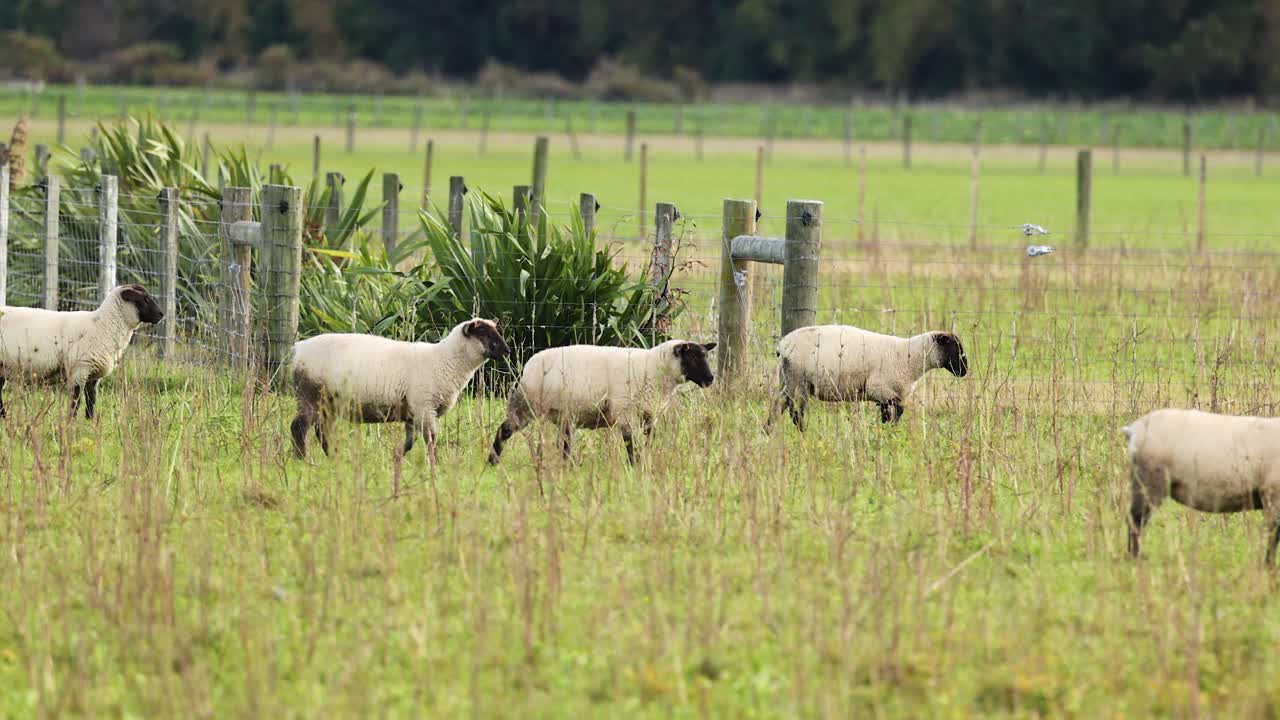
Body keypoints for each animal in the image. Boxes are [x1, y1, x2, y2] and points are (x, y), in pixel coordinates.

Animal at [0, 284, 164, 419]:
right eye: (143, 299)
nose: (161, 314)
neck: (103, 326)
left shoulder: (93, 375)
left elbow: (91, 400)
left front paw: (89, 422)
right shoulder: (79, 369)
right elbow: (76, 401)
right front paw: (71, 423)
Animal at [289, 318, 509, 464]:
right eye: (484, 333)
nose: (507, 350)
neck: (445, 360)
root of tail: (296, 349)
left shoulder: (413, 413)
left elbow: (411, 442)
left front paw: (395, 457)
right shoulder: (425, 408)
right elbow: (431, 439)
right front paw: (434, 465)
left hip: (328, 402)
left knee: (322, 431)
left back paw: (335, 458)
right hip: (310, 393)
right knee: (298, 428)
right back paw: (303, 460)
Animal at [488, 340, 716, 465]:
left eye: (705, 356)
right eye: (693, 357)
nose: (710, 379)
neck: (654, 367)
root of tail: (529, 365)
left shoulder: (650, 414)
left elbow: (649, 441)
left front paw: (646, 461)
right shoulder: (626, 412)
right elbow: (630, 443)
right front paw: (634, 466)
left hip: (562, 413)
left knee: (565, 444)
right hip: (527, 405)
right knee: (505, 429)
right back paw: (492, 461)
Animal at [770, 324, 968, 430]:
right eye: (955, 347)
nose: (965, 371)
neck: (911, 356)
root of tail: (783, 346)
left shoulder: (883, 397)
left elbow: (889, 415)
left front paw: (886, 433)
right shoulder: (881, 390)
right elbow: (898, 412)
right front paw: (890, 433)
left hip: (790, 380)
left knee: (779, 404)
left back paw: (768, 431)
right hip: (799, 381)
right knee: (795, 412)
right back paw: (802, 434)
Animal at [1123, 408, 1280, 564]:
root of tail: (1134, 430)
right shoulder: (1272, 494)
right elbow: (1273, 534)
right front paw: (1269, 566)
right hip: (1150, 480)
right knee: (1136, 518)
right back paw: (1136, 558)